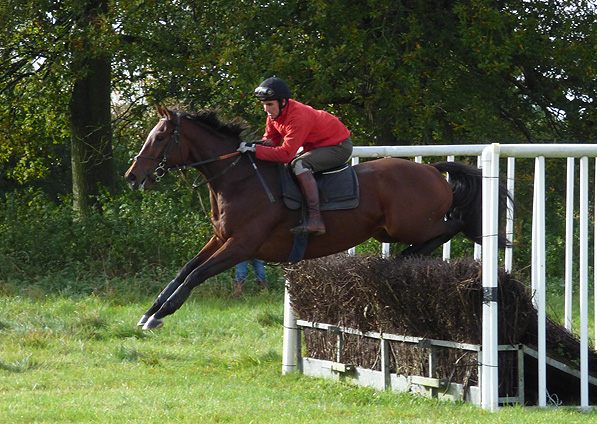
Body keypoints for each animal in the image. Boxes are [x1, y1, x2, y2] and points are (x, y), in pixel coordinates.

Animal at [124, 104, 508, 330]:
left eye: (160, 136)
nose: (132, 176)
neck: (236, 178)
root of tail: (431, 170)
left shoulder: (242, 246)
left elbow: (196, 275)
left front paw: (160, 316)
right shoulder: (221, 238)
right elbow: (185, 270)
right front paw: (151, 311)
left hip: (410, 224)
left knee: (453, 226)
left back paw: (407, 256)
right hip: (388, 230)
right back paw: (405, 258)